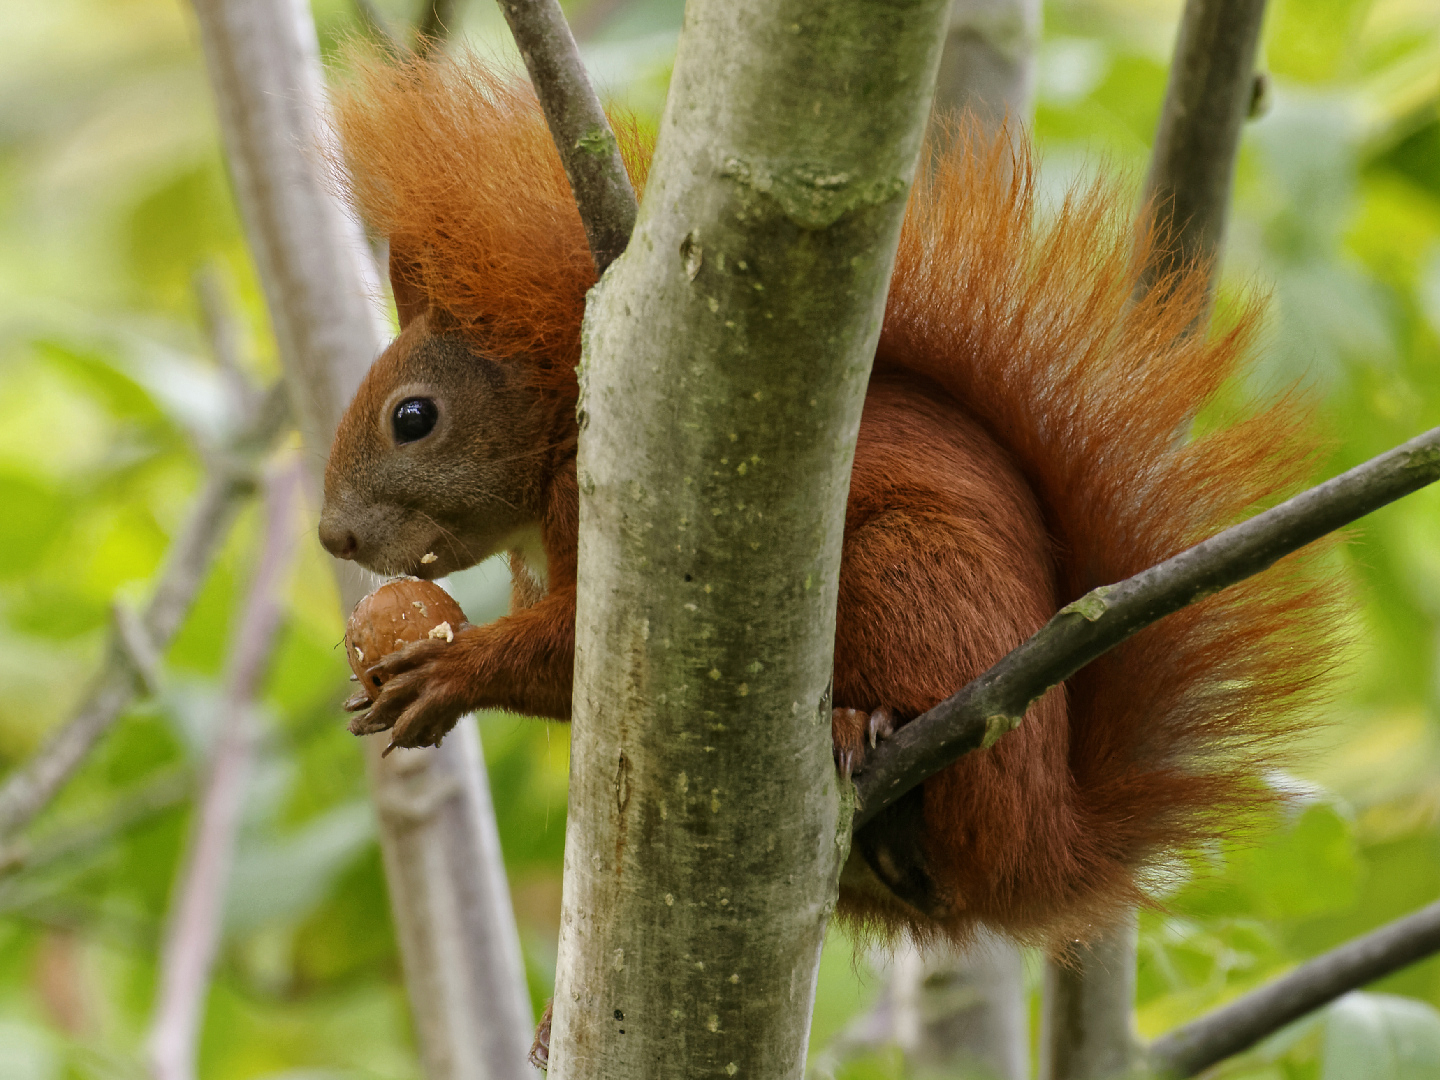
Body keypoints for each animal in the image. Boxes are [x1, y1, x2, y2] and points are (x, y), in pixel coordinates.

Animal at [318, 52, 1336, 944]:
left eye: (413, 417)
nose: (332, 536)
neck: (566, 427)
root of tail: (1051, 835)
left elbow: (575, 651)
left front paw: (449, 673)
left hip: (907, 582)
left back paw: (866, 722)